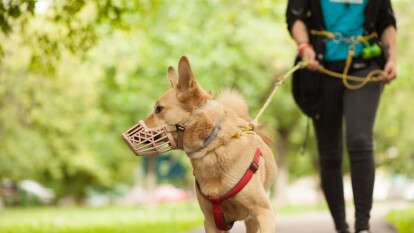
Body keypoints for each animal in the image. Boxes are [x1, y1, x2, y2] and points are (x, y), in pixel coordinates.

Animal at [126, 57, 278, 233]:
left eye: (159, 109)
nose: (124, 136)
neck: (211, 148)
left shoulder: (264, 213)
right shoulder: (212, 222)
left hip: (252, 219)